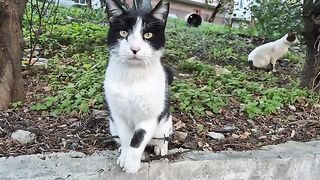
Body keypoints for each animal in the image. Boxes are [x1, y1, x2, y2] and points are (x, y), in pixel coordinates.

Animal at [103, 0, 172, 174]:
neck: (132, 77)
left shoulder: (150, 115)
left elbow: (138, 140)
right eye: (123, 33)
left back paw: (161, 147)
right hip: (112, 126)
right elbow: (127, 139)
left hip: (165, 122)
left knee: (163, 136)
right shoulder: (118, 114)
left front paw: (131, 166)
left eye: (147, 35)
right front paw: (125, 158)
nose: (134, 49)